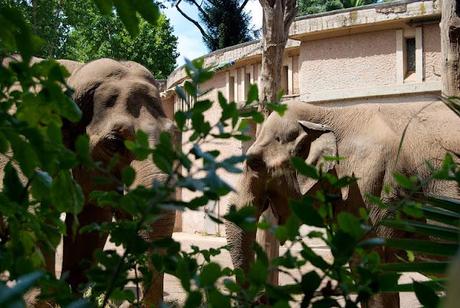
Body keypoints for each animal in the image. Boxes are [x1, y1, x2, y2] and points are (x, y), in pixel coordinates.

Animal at [1, 56, 177, 306]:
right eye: (114, 143)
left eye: (174, 135)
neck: (74, 75)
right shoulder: (22, 142)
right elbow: (32, 218)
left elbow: (92, 224)